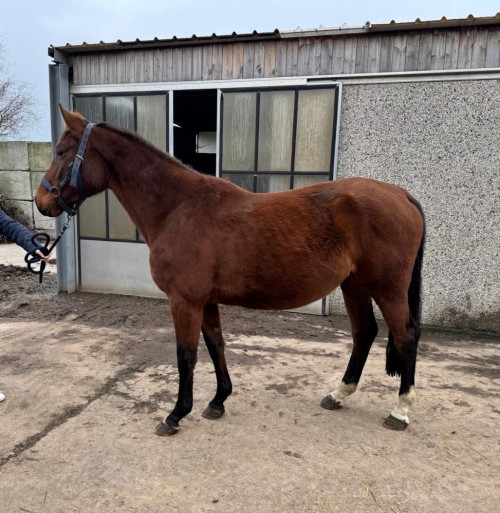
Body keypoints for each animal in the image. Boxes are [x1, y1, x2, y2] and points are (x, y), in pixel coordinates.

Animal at [36, 106, 426, 434]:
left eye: (61, 152)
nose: (41, 201)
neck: (178, 208)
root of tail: (402, 195)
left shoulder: (185, 301)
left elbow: (186, 356)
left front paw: (176, 415)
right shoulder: (205, 301)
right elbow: (216, 346)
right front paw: (218, 400)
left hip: (387, 288)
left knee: (404, 336)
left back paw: (400, 411)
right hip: (354, 285)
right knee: (364, 333)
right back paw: (339, 394)